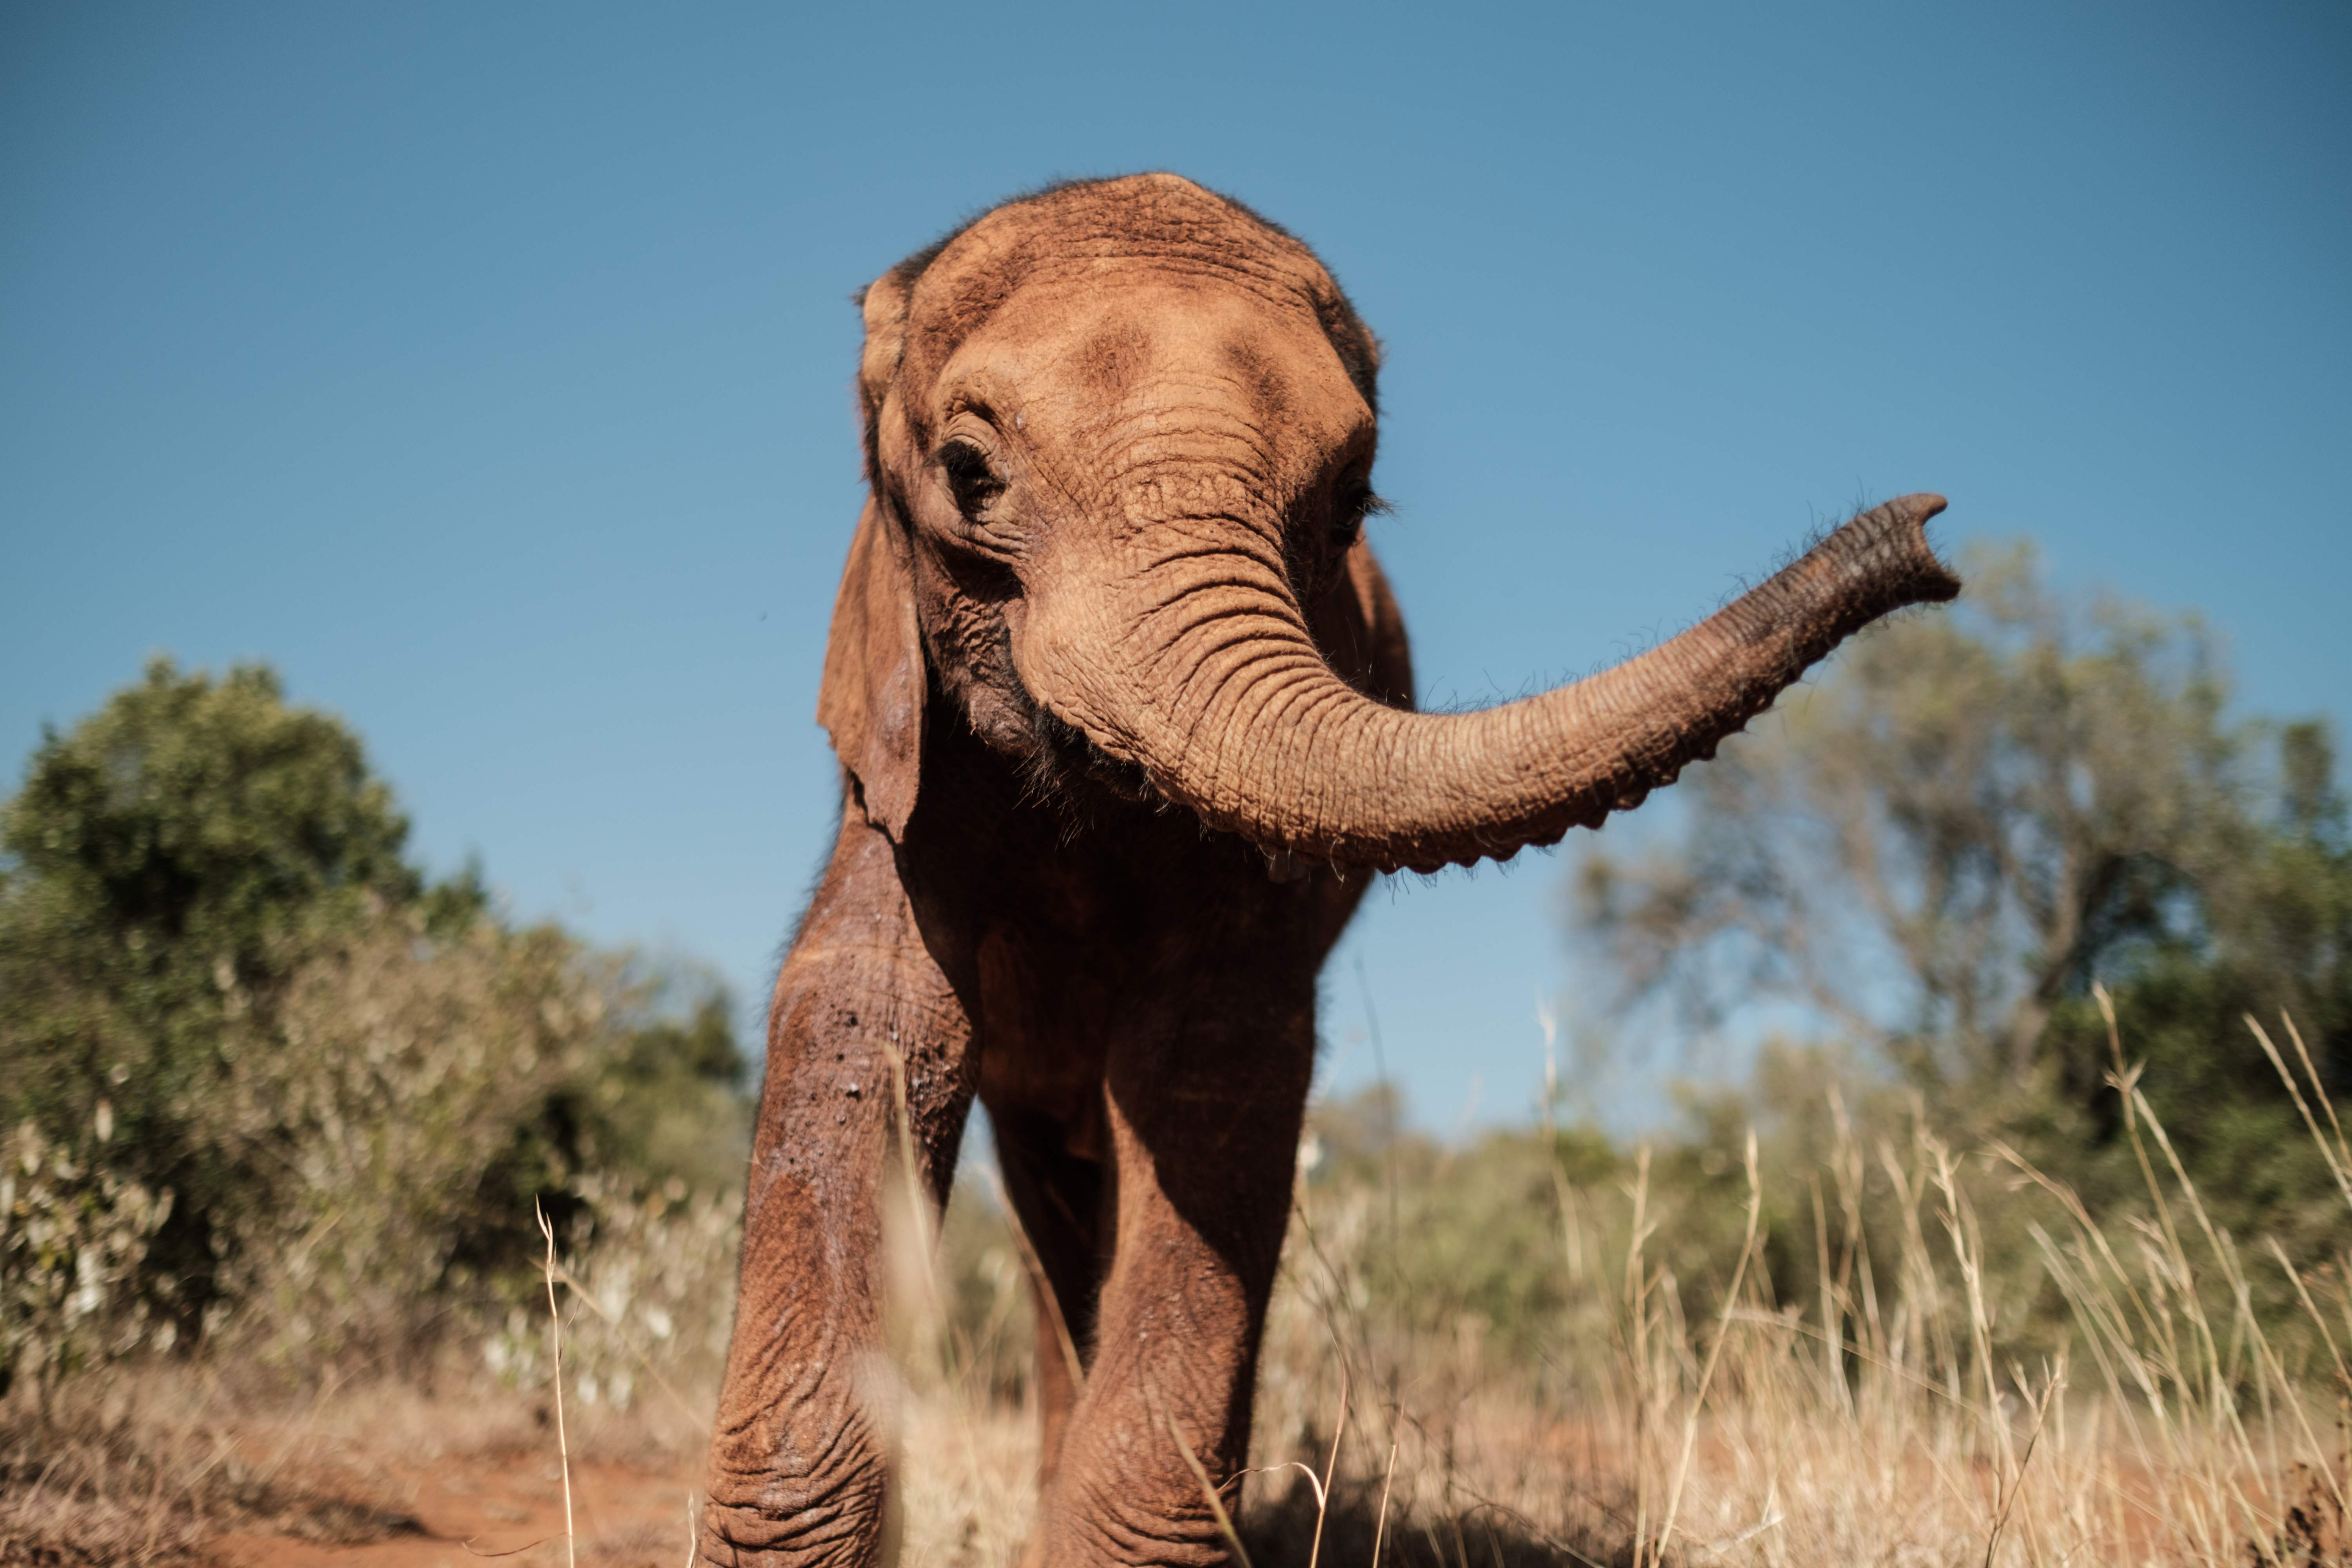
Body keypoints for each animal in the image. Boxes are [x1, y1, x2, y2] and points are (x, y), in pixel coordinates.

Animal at [701, 175, 1966, 1568]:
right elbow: (867, 1010)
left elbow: (1213, 1064)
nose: (1927, 537)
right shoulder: (902, 739)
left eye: (1353, 502)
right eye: (966, 473)